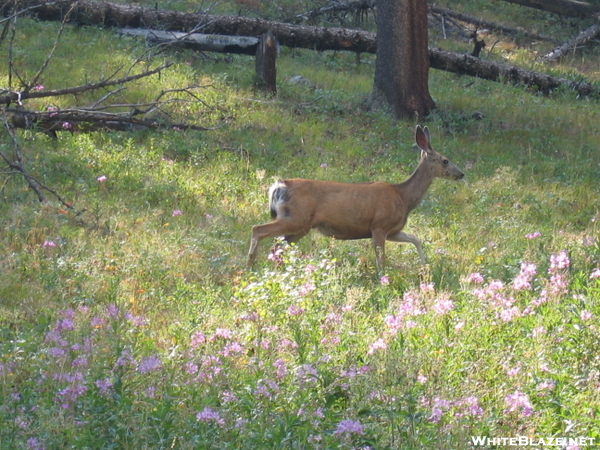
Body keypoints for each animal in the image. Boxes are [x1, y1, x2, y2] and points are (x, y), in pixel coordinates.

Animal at [246, 126, 466, 272]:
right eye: (445, 160)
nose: (461, 173)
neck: (403, 198)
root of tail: (279, 185)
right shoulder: (379, 226)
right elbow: (381, 259)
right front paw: (383, 280)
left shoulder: (393, 230)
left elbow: (415, 238)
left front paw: (425, 266)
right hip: (295, 218)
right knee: (258, 229)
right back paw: (250, 266)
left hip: (300, 226)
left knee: (278, 245)